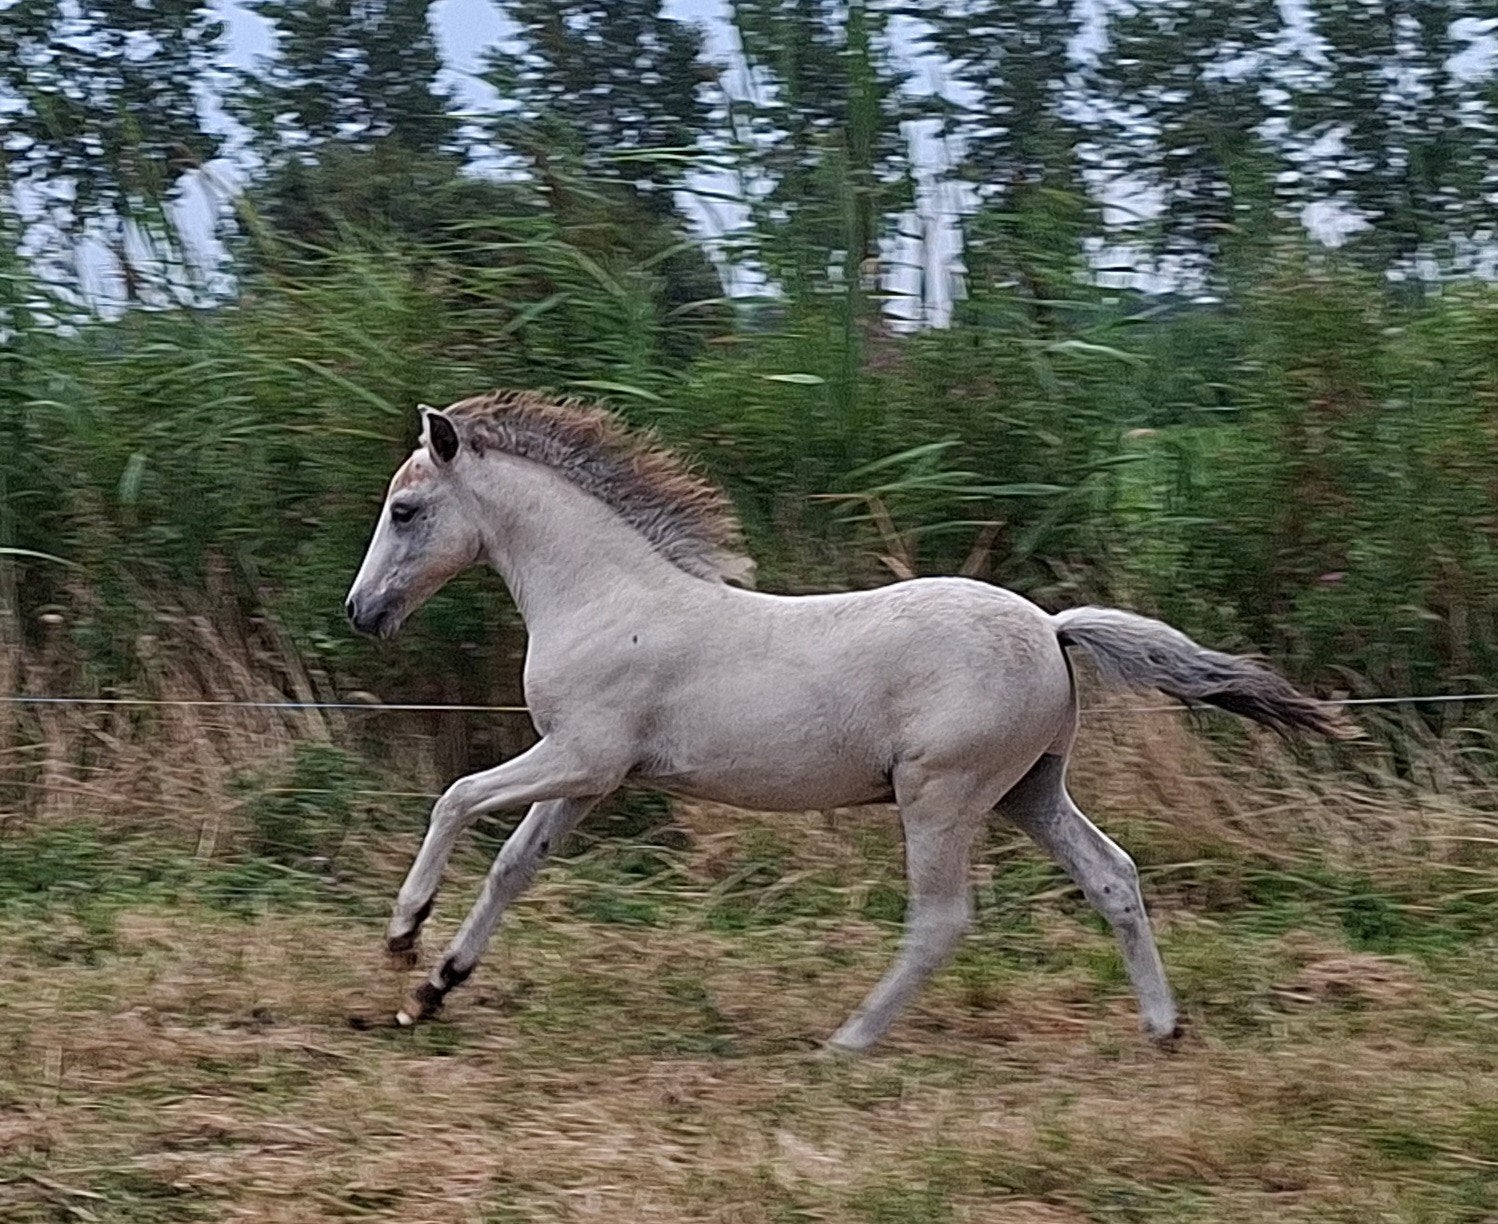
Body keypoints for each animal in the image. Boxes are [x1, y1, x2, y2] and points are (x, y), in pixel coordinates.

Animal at [345, 391, 1352, 1052]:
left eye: (406, 509)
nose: (362, 613)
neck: (607, 598)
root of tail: (1052, 628)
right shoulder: (594, 776)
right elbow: (514, 868)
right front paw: (432, 991)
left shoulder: (580, 755)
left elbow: (456, 797)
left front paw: (402, 938)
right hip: (1030, 791)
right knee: (1113, 877)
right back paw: (1163, 1028)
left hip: (941, 794)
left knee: (941, 919)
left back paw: (848, 1041)